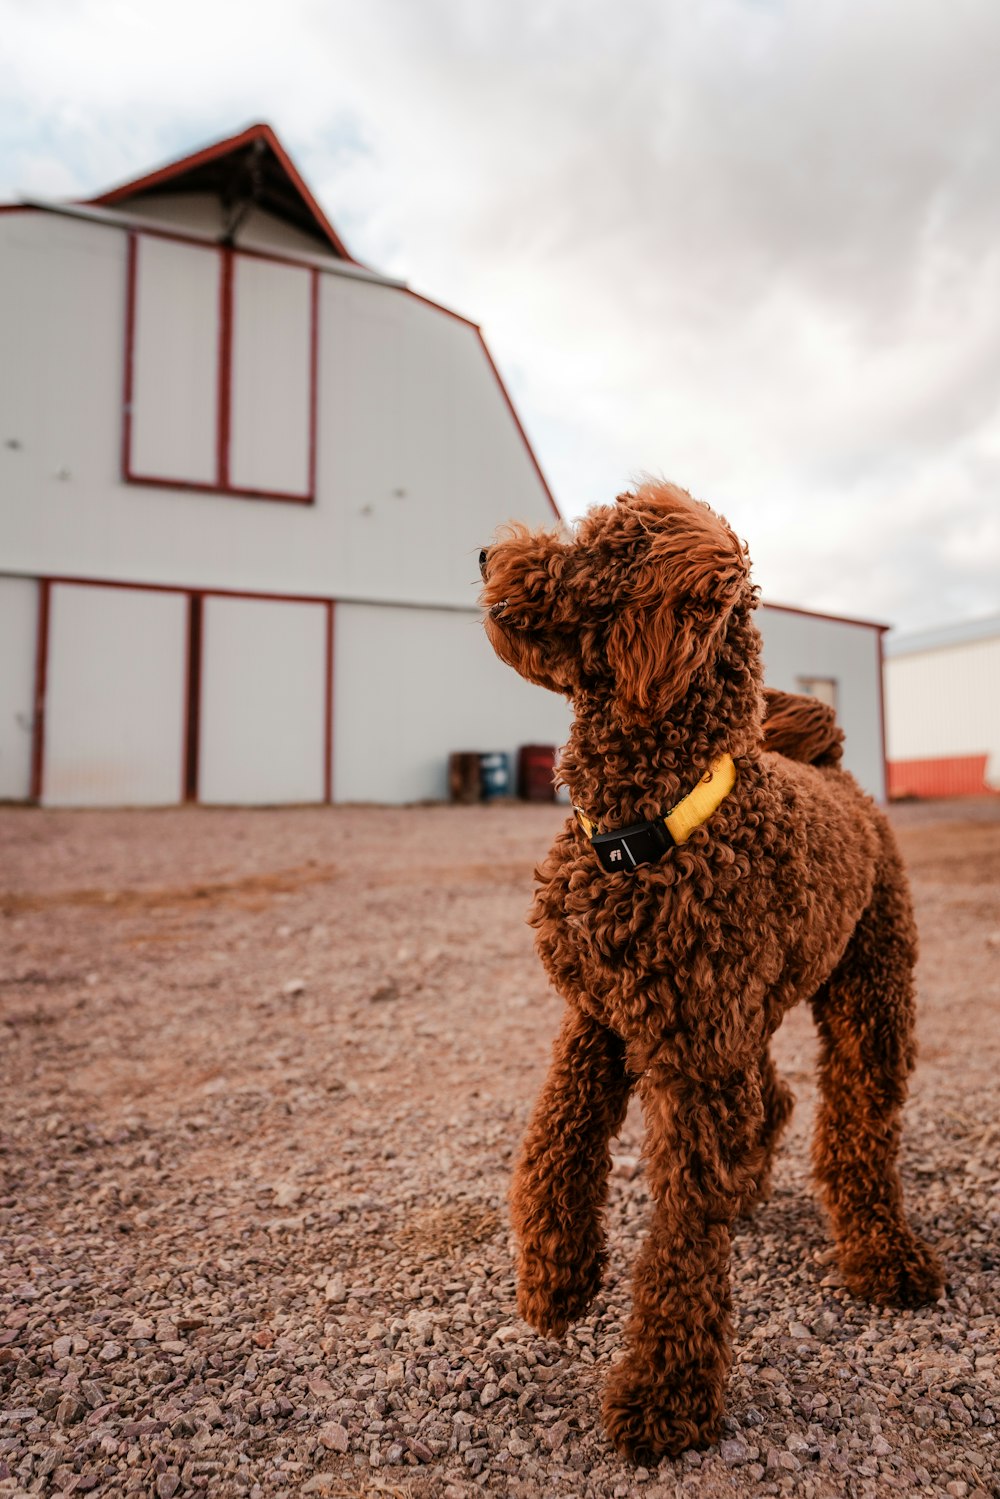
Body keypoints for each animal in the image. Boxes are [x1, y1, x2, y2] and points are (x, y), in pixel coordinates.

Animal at [479, 482, 941, 1463]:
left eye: (593, 547)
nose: (486, 557)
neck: (649, 825)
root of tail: (830, 763)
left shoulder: (688, 1057)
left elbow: (683, 1236)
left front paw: (666, 1397)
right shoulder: (605, 1014)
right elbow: (553, 1138)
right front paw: (555, 1276)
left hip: (868, 990)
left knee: (857, 1127)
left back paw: (883, 1254)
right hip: (745, 1012)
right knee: (773, 1098)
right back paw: (756, 1188)